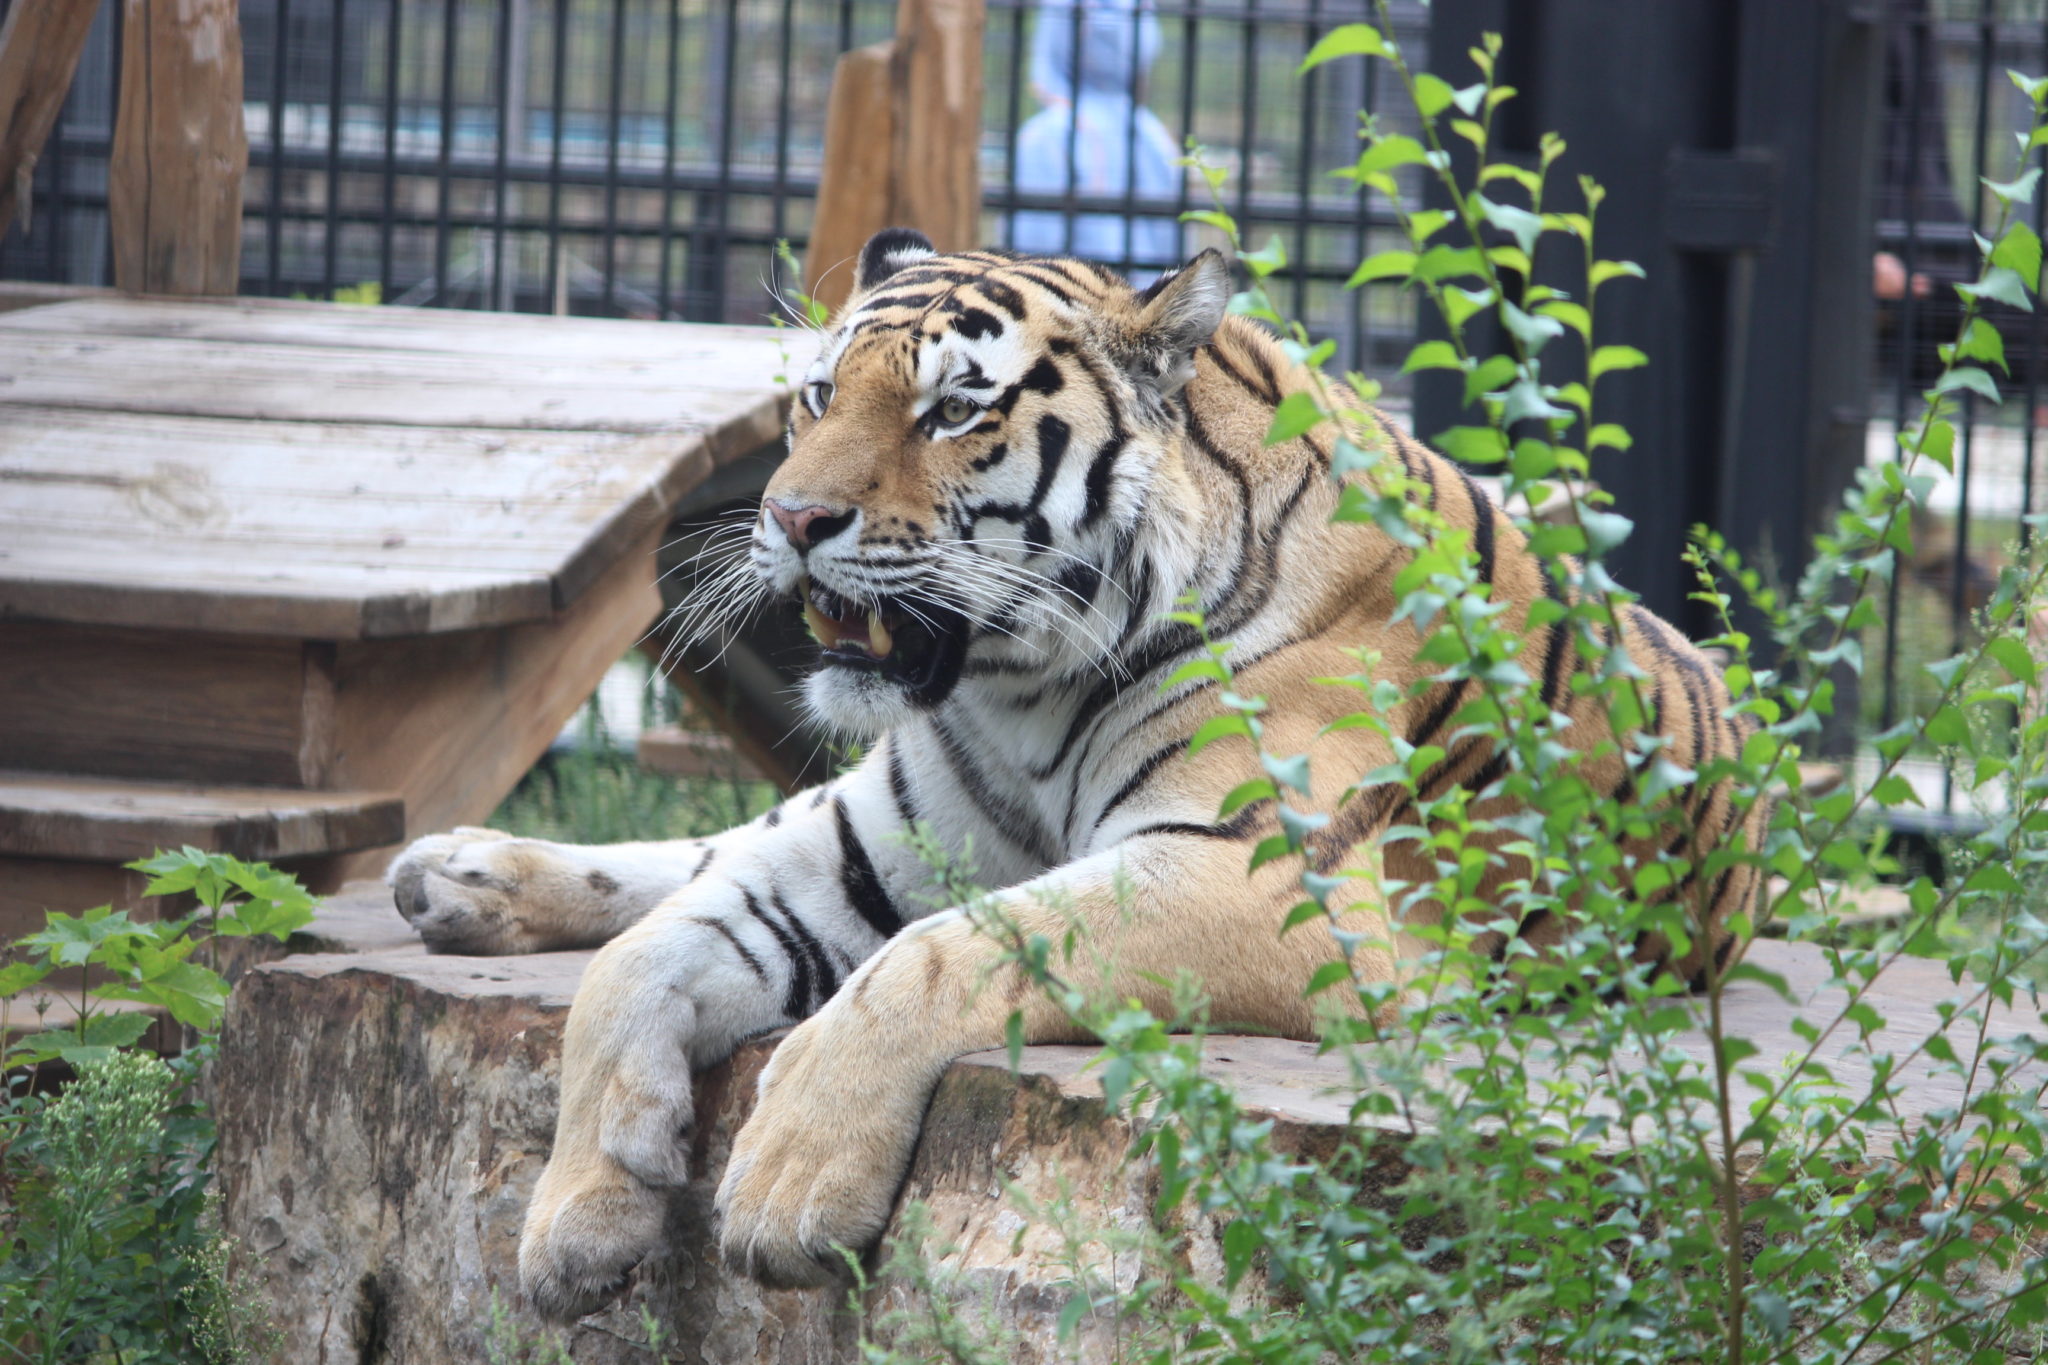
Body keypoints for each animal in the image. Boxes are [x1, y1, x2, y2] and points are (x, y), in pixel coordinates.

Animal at [385, 227, 1761, 1326]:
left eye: (951, 411)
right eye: (818, 395)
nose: (787, 521)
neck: (1017, 691)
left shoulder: (1259, 882)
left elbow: (937, 955)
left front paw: (787, 1178)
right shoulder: (864, 843)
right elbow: (641, 963)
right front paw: (575, 1219)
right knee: (688, 857)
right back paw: (458, 874)